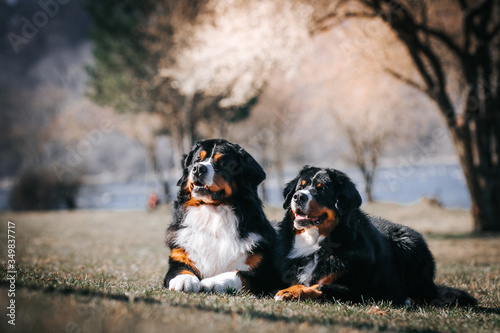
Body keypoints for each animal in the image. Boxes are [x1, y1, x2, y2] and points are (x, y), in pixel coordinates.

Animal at [164, 139, 282, 294]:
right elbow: (180, 270)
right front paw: (184, 280)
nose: (198, 168)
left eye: (221, 163)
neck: (212, 213)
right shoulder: (180, 256)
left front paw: (212, 281)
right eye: (197, 160)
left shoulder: (263, 274)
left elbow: (238, 274)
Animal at [274, 166, 476, 306]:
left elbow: (320, 286)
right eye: (299, 187)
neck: (316, 245)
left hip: (410, 250)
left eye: (321, 188)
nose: (298, 197)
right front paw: (291, 289)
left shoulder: (362, 289)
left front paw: (291, 292)